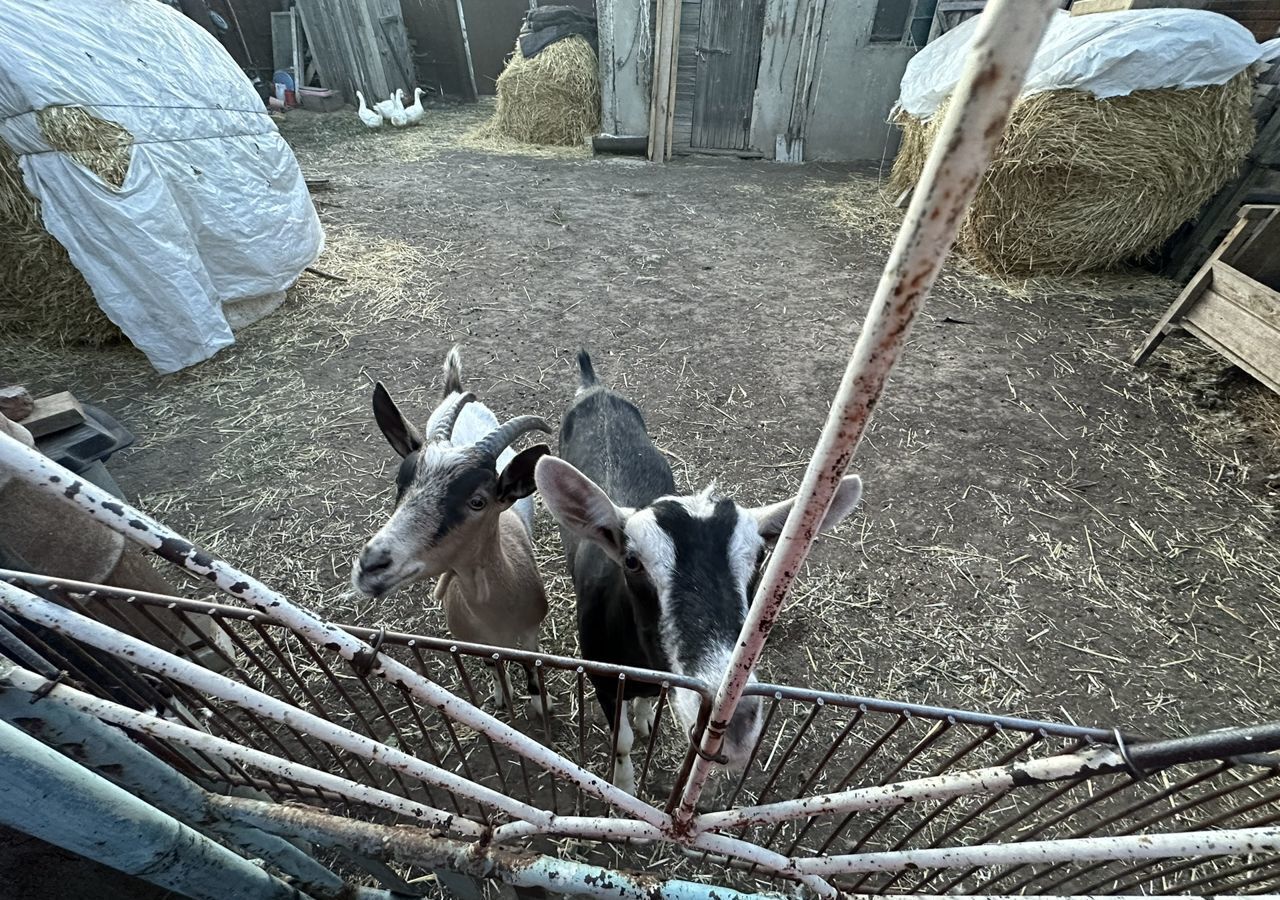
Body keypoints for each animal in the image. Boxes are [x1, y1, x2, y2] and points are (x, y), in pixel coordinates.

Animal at [353, 348, 552, 716]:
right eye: (401, 481)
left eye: (478, 501)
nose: (371, 564)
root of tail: (455, 389)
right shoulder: (473, 641)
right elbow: (493, 666)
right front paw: (501, 696)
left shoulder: (531, 632)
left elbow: (531, 666)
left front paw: (538, 705)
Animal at [535, 353, 865, 793]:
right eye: (632, 561)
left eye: (760, 557)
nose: (734, 721)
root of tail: (594, 387)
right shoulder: (602, 679)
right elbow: (620, 740)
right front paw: (623, 785)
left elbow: (645, 704)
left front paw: (645, 720)